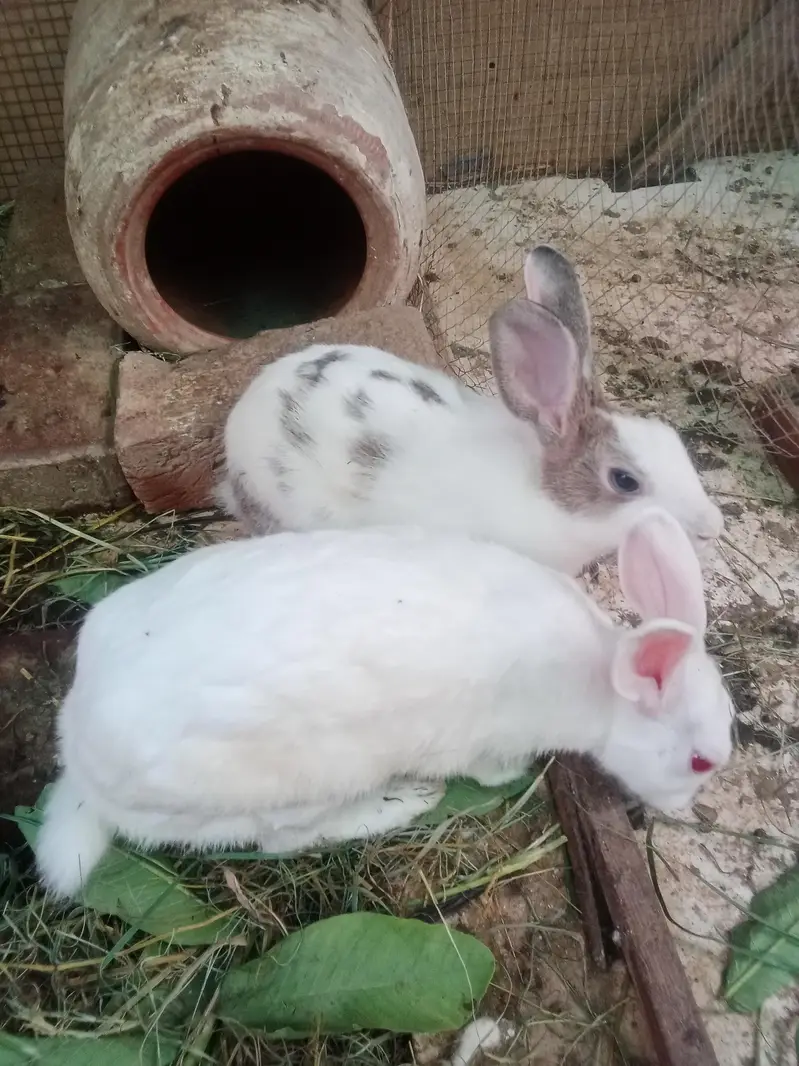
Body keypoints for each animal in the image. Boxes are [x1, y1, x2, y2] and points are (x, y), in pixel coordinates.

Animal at [35, 507, 733, 899]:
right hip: (303, 781)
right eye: (701, 761)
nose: (683, 809)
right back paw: (406, 802)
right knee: (287, 838)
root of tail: (83, 760)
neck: (600, 680)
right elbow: (490, 768)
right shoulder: (491, 739)